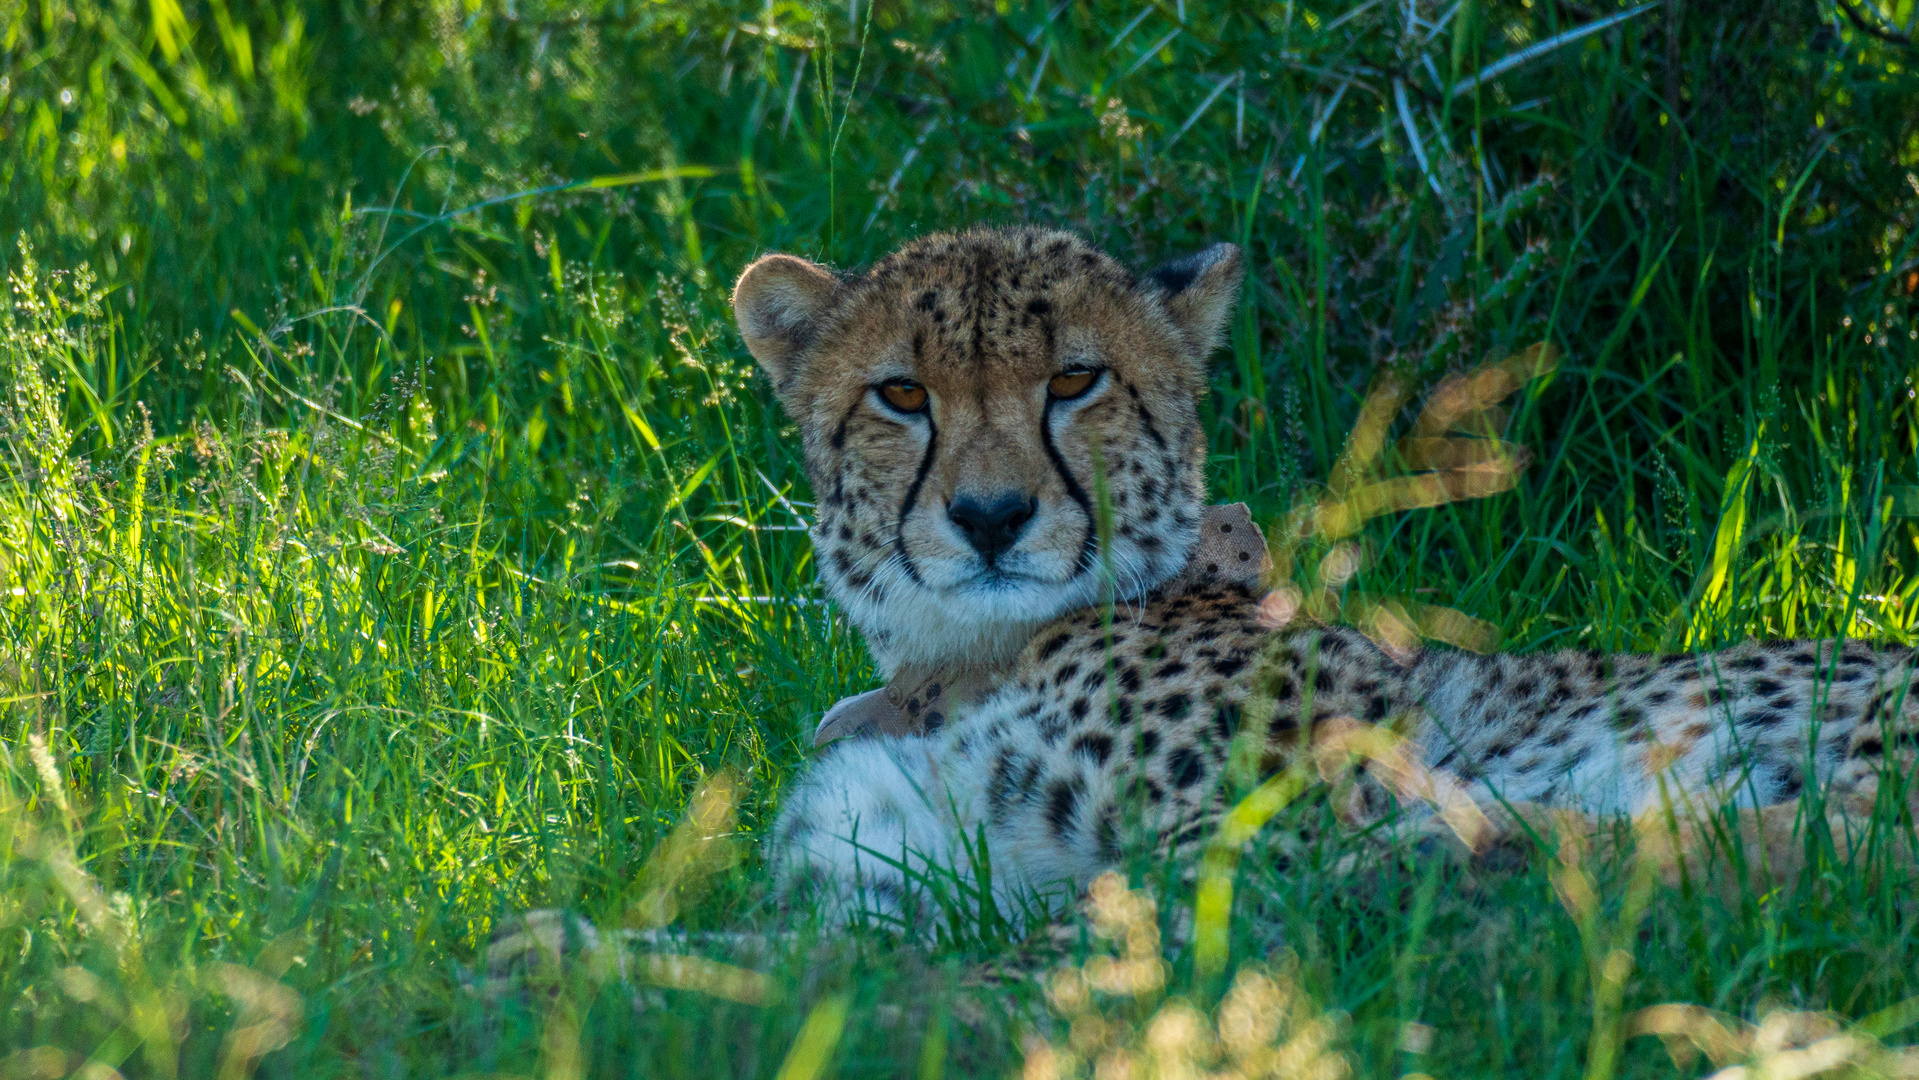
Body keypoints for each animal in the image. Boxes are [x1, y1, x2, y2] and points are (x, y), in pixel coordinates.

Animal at [733, 228, 1919, 928]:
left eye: (1075, 381)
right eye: (900, 395)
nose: (990, 518)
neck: (957, 665)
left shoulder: (1284, 817)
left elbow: (1102, 934)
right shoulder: (887, 869)